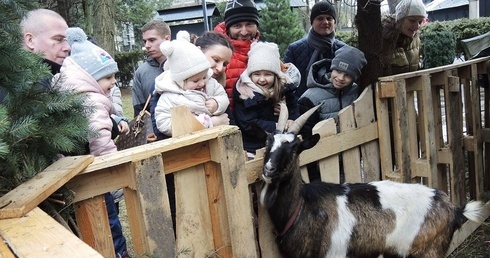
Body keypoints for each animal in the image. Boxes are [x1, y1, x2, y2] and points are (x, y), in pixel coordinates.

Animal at [258, 103, 484, 258]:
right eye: (268, 141)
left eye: (295, 148)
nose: (269, 169)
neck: (302, 206)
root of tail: (455, 209)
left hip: (429, 252)